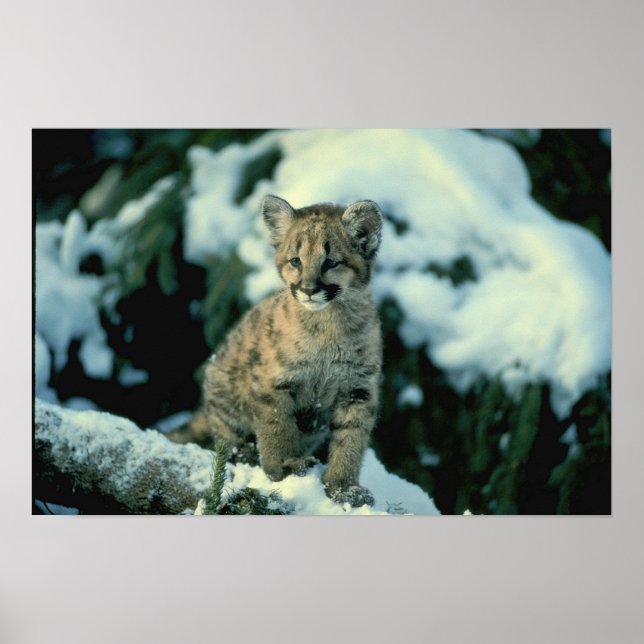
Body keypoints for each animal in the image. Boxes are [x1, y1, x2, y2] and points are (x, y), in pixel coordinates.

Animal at [202, 194, 383, 507]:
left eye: (331, 262)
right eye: (296, 261)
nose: (309, 290)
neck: (328, 325)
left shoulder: (358, 389)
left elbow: (351, 439)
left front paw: (343, 487)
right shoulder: (273, 382)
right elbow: (277, 427)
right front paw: (285, 467)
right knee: (224, 437)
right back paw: (244, 453)